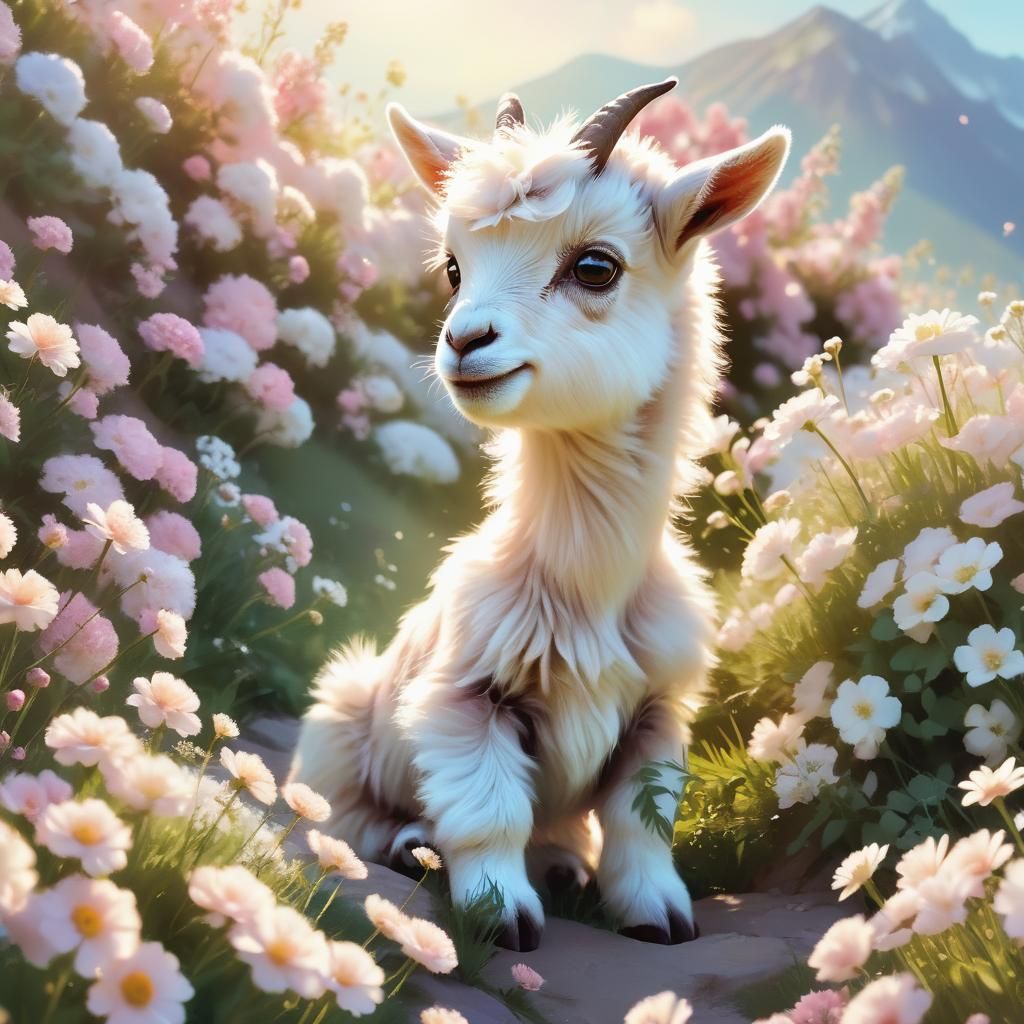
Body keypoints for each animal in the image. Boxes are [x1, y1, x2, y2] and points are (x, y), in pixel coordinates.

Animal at [290, 79, 789, 951]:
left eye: (595, 266)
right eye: (455, 268)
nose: (464, 342)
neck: (586, 588)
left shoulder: (658, 714)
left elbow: (638, 823)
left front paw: (658, 916)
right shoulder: (464, 700)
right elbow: (488, 810)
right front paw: (502, 917)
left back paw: (559, 868)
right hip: (340, 720)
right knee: (343, 817)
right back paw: (411, 843)